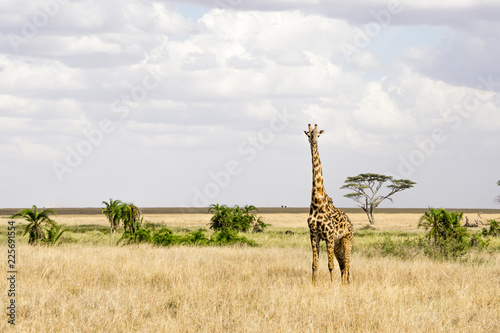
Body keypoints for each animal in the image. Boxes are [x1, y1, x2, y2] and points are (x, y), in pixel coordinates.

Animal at [302, 123, 354, 284]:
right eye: (308, 134)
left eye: (318, 134)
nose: (313, 142)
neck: (317, 202)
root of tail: (351, 223)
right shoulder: (314, 235)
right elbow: (315, 265)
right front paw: (313, 284)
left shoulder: (329, 235)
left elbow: (330, 265)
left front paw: (331, 285)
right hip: (338, 245)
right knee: (343, 265)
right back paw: (344, 284)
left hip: (347, 240)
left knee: (347, 264)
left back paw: (345, 284)